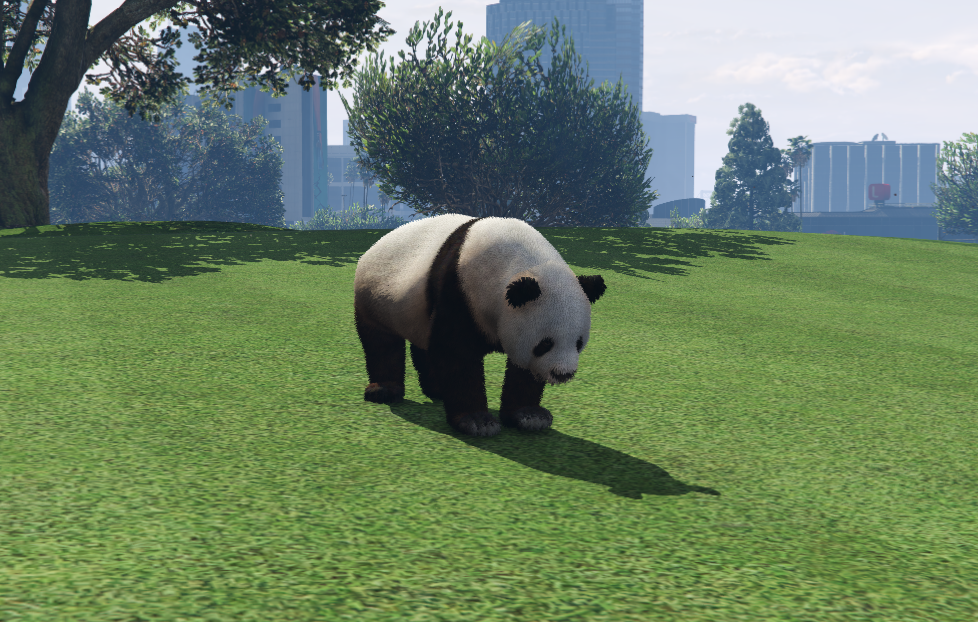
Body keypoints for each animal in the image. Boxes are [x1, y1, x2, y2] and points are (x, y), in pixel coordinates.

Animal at [353, 213, 606, 437]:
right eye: (545, 344)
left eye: (579, 343)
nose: (563, 374)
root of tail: (375, 245)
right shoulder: (458, 290)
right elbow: (456, 354)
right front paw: (477, 422)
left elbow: (523, 368)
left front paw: (530, 416)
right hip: (376, 296)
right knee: (382, 343)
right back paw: (384, 391)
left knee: (424, 343)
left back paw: (437, 389)